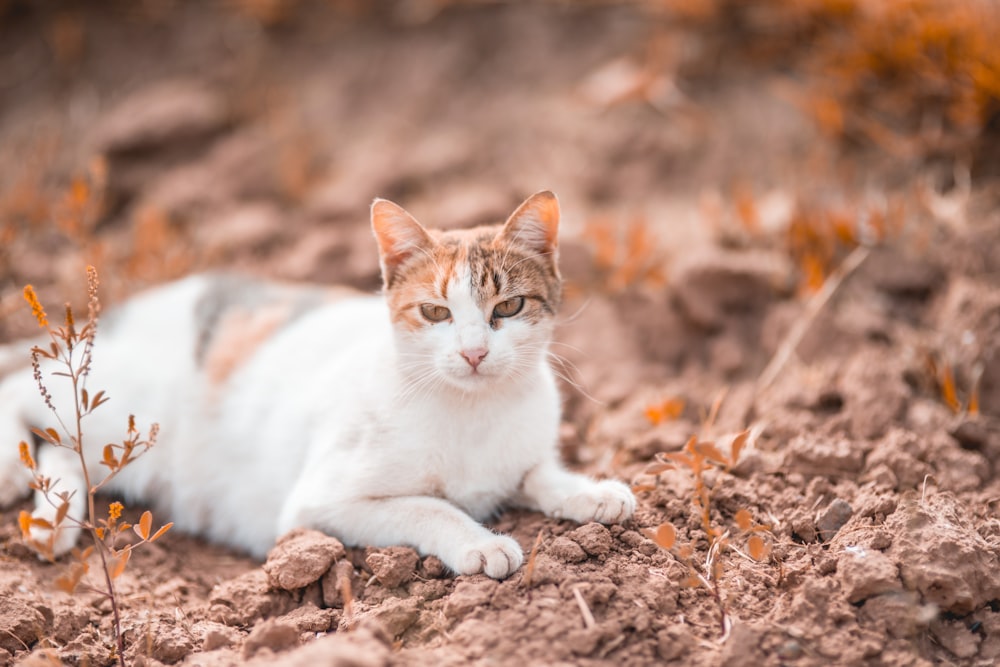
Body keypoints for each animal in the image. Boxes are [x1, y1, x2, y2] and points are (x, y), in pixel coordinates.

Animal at [0, 192, 636, 580]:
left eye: (508, 307)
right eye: (435, 313)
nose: (475, 352)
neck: (473, 410)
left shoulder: (523, 455)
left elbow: (539, 474)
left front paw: (589, 491)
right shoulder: (321, 502)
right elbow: (428, 506)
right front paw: (481, 541)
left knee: (63, 446)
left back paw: (53, 521)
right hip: (128, 406)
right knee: (27, 389)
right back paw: (22, 483)